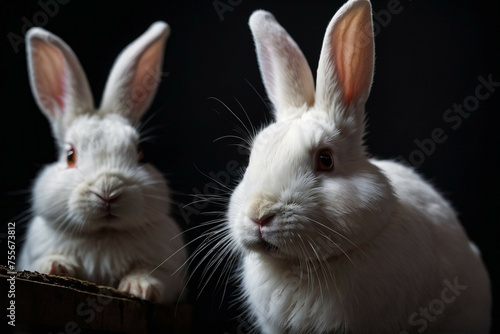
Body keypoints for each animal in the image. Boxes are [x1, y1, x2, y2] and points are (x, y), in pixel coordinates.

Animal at [17, 20, 187, 302]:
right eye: (70, 156)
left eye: (140, 152)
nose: (108, 192)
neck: (103, 235)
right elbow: (46, 259)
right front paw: (55, 266)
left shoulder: (169, 269)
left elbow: (152, 273)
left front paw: (140, 287)